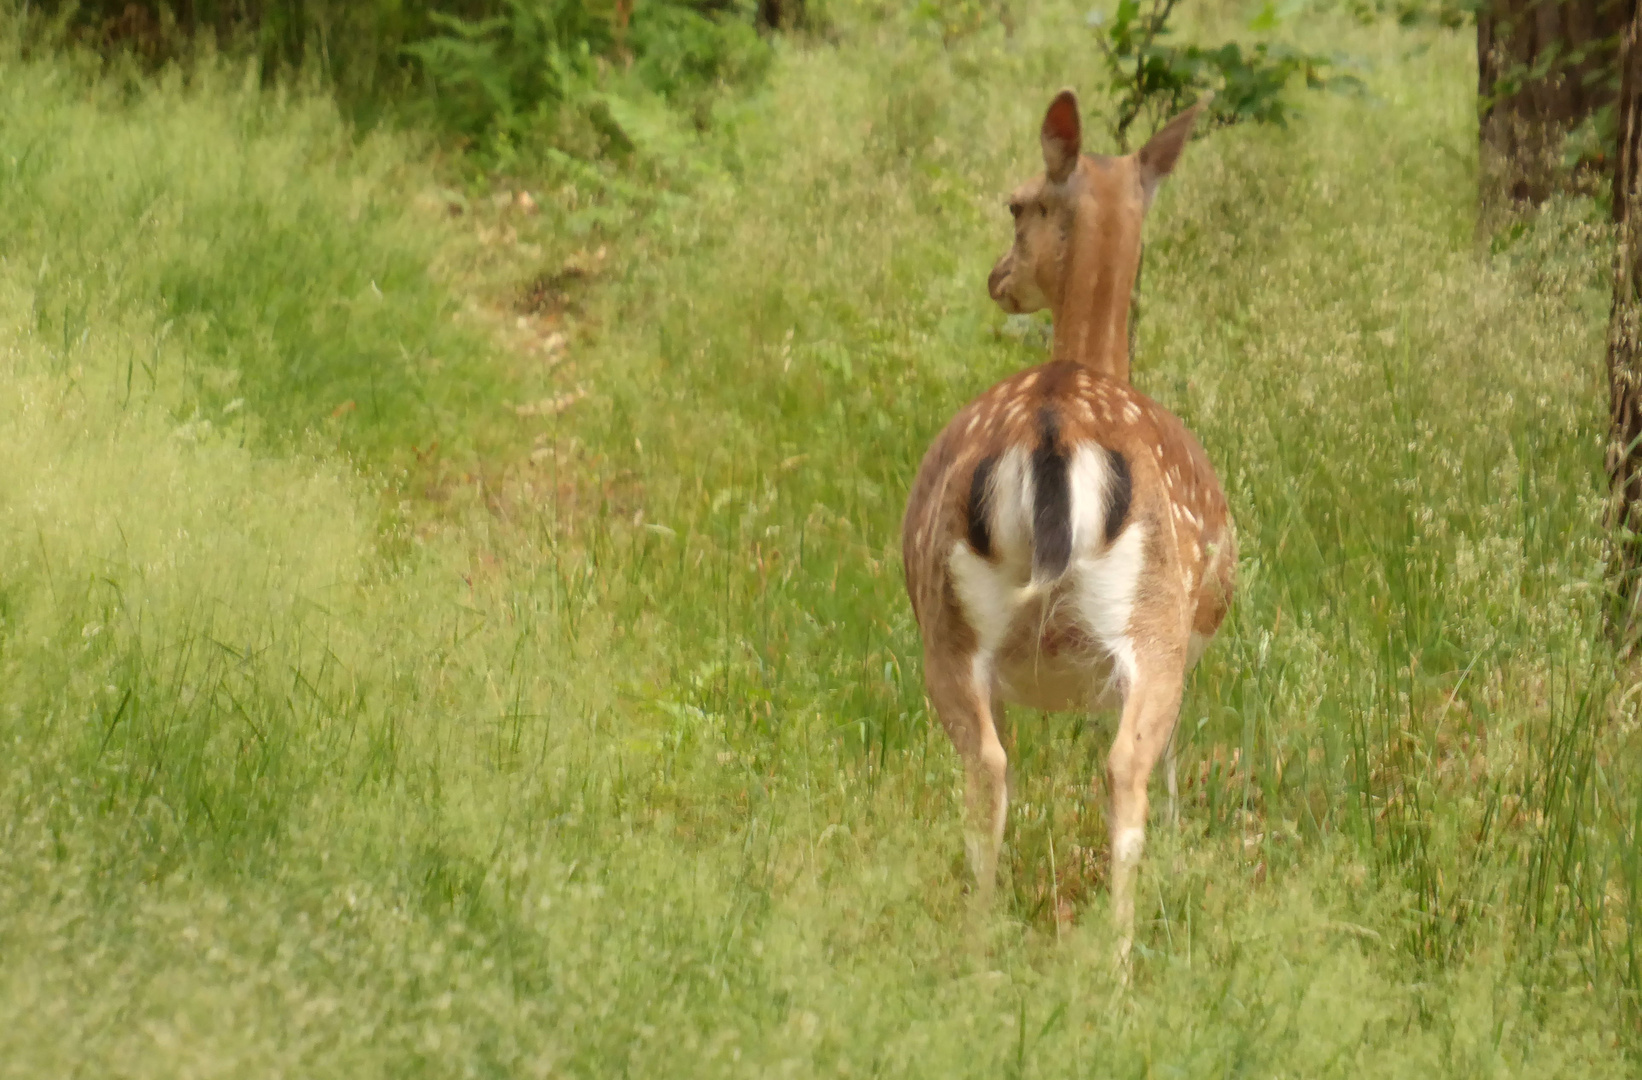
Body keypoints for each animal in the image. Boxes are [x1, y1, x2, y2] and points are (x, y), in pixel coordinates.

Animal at [899, 90, 1234, 958]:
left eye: (1017, 204)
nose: (998, 277)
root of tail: (1052, 424)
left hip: (951, 624)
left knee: (989, 769)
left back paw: (984, 948)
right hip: (1149, 620)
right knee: (1120, 772)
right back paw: (1116, 960)